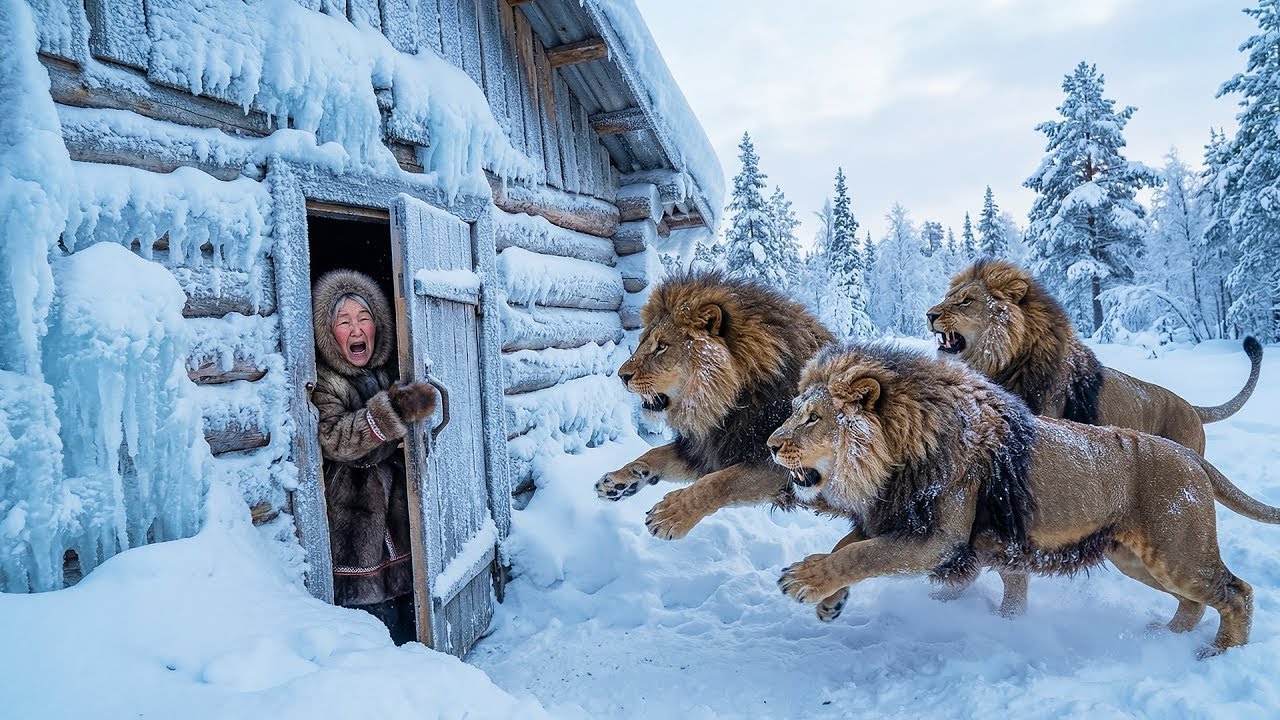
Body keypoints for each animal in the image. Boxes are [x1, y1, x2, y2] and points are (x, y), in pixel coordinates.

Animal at [595, 270, 835, 542]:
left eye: (662, 346)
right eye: (642, 342)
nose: (621, 376)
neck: (727, 406)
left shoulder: (785, 465)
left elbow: (720, 482)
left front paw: (671, 514)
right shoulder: (707, 450)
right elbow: (655, 454)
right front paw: (619, 481)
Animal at [766, 343, 1280, 657]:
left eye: (812, 418)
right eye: (795, 413)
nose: (771, 445)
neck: (891, 461)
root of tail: (1190, 457)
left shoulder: (939, 539)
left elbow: (861, 554)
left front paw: (806, 581)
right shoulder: (894, 518)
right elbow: (848, 546)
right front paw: (830, 601)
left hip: (1178, 553)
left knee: (1237, 592)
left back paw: (1216, 653)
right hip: (1135, 558)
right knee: (1194, 603)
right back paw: (1163, 638)